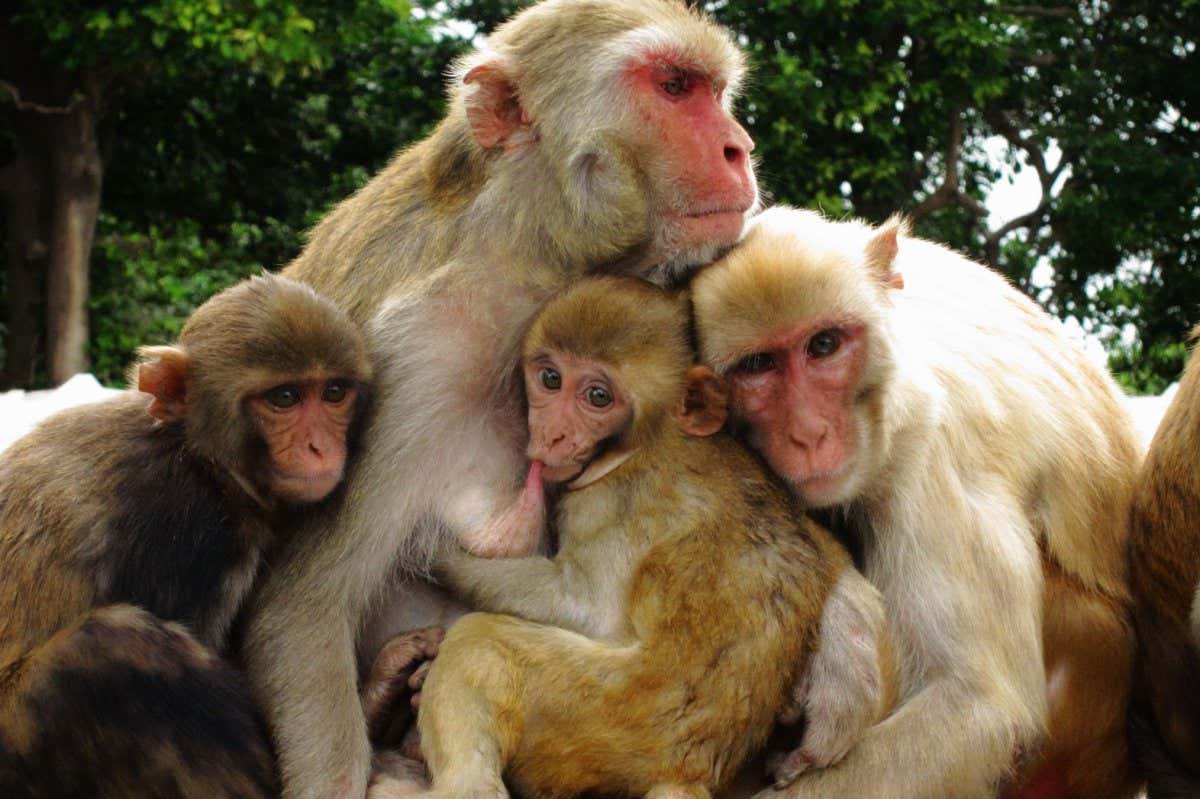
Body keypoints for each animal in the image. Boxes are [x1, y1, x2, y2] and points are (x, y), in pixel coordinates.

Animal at [0, 273, 371, 798]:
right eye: (285, 399)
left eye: (334, 392)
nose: (320, 447)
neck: (198, 457)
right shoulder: (186, 533)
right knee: (113, 645)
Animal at [367, 276, 894, 799]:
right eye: (550, 378)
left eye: (598, 397)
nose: (552, 435)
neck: (654, 440)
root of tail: (686, 772)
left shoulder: (608, 502)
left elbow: (583, 606)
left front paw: (437, 552)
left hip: (605, 715)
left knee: (481, 642)